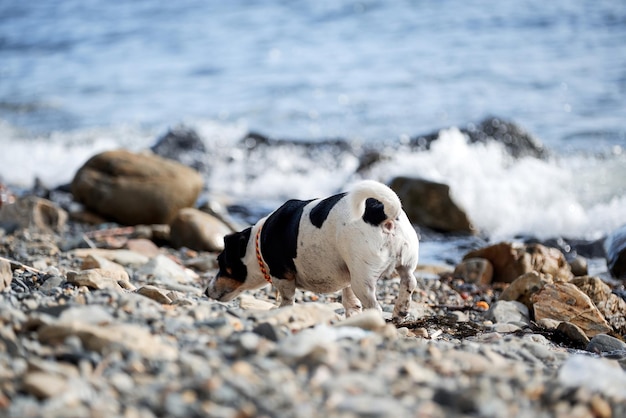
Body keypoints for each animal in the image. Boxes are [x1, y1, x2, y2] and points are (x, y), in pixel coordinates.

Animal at [205, 180, 420, 320]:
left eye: (221, 262)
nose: (206, 292)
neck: (256, 243)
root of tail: (383, 213)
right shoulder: (347, 277)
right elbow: (349, 300)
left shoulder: (283, 276)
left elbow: (287, 297)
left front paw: (283, 310)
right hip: (403, 264)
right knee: (409, 281)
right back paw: (400, 311)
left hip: (363, 280)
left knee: (375, 306)